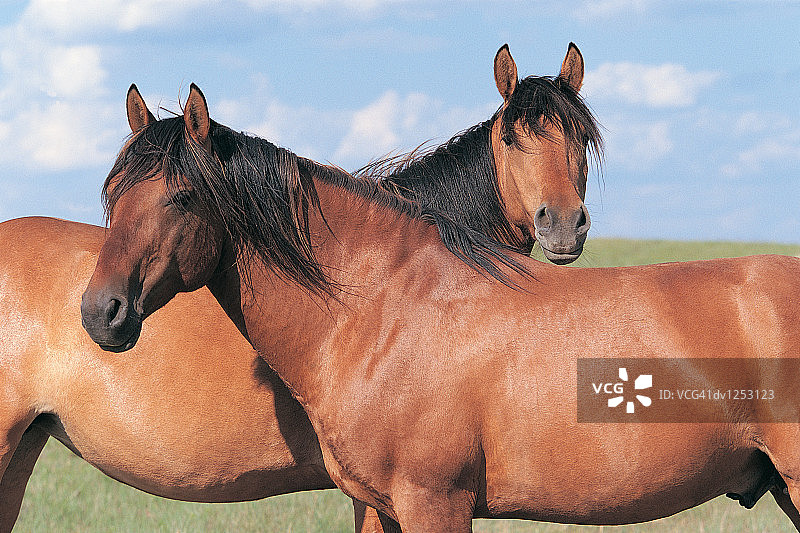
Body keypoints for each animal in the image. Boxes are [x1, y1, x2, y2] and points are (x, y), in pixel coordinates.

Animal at [81, 83, 800, 532]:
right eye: (111, 190)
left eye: (182, 196)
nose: (99, 311)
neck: (379, 310)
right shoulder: (379, 506)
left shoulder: (436, 504)